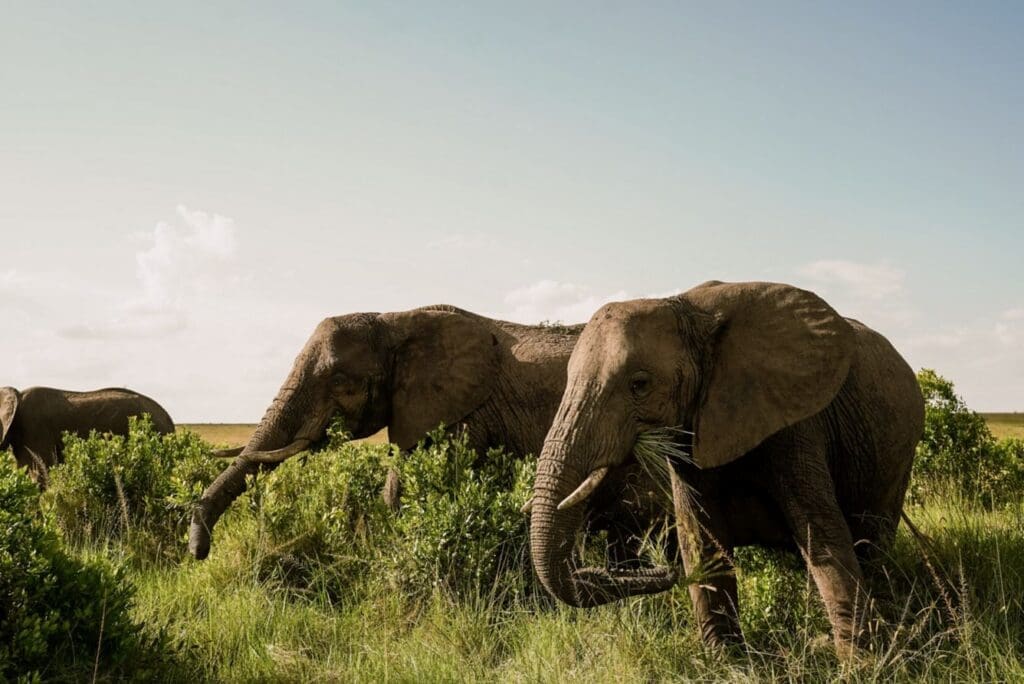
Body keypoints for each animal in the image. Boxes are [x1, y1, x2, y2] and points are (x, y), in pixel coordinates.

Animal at [528, 280, 924, 653]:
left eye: (639, 384)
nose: (659, 568)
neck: (686, 310)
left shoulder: (793, 419)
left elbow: (821, 533)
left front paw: (860, 662)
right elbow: (700, 540)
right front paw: (727, 660)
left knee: (872, 542)